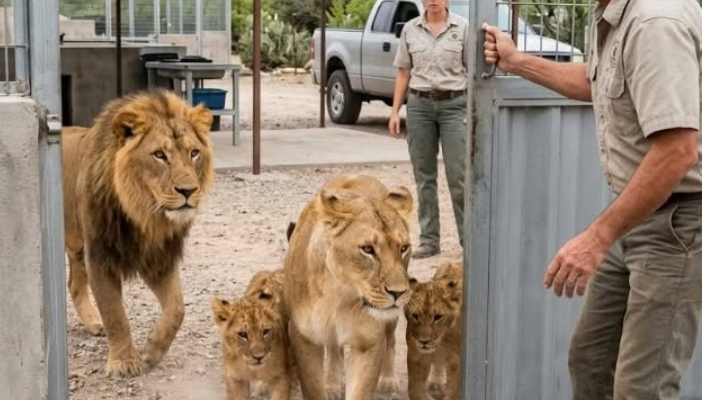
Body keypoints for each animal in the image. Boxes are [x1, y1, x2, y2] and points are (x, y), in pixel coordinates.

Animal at [61, 90, 215, 377]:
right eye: (159, 155)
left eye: (194, 152)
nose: (188, 191)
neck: (144, 215)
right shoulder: (100, 256)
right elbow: (115, 313)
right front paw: (124, 362)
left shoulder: (159, 258)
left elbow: (177, 309)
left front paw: (153, 349)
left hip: (77, 247)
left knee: (74, 285)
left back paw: (94, 323)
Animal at [283, 174, 414, 400]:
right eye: (367, 249)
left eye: (404, 248)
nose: (398, 292)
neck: (339, 293)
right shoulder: (303, 335)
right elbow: (313, 388)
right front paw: (327, 387)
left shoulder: (368, 341)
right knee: (333, 348)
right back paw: (332, 385)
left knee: (390, 340)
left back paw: (388, 380)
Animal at [405, 261, 463, 400]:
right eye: (415, 316)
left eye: (438, 317)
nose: (423, 342)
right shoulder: (416, 355)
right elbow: (415, 390)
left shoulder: (456, 360)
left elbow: (454, 392)